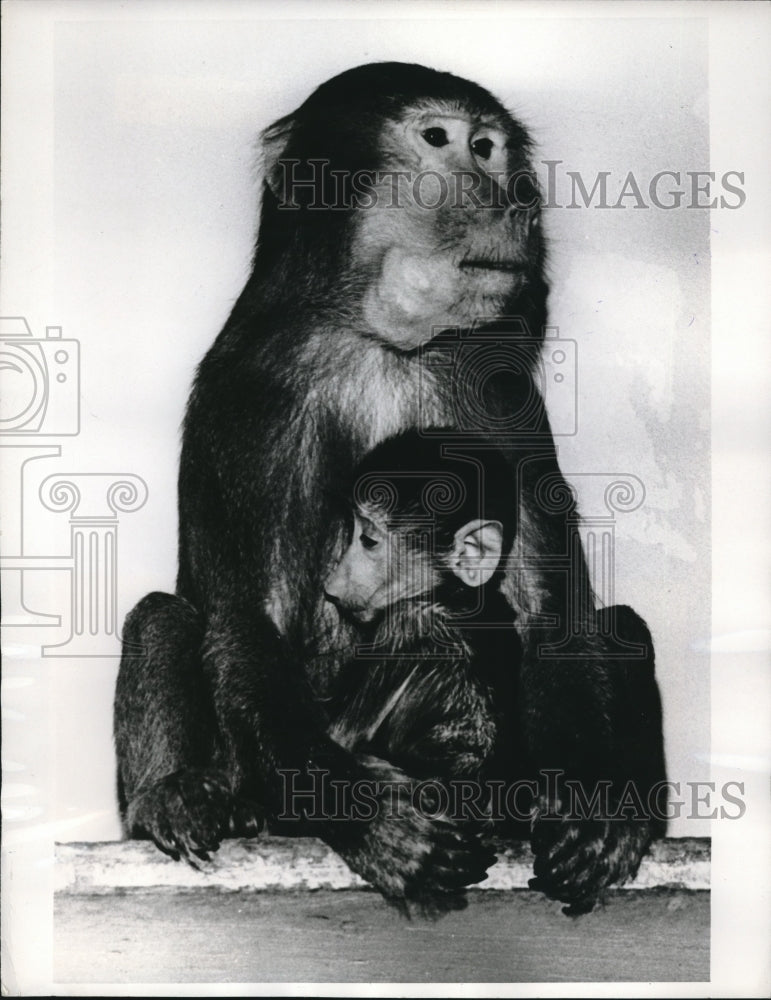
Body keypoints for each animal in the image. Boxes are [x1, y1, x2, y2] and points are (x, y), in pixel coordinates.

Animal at [114, 62, 664, 916]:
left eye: (488, 146)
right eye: (438, 140)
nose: (510, 198)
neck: (384, 342)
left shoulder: (491, 381)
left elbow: (551, 610)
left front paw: (590, 807)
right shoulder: (258, 390)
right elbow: (250, 625)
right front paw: (375, 823)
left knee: (617, 622)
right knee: (164, 615)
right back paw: (177, 796)